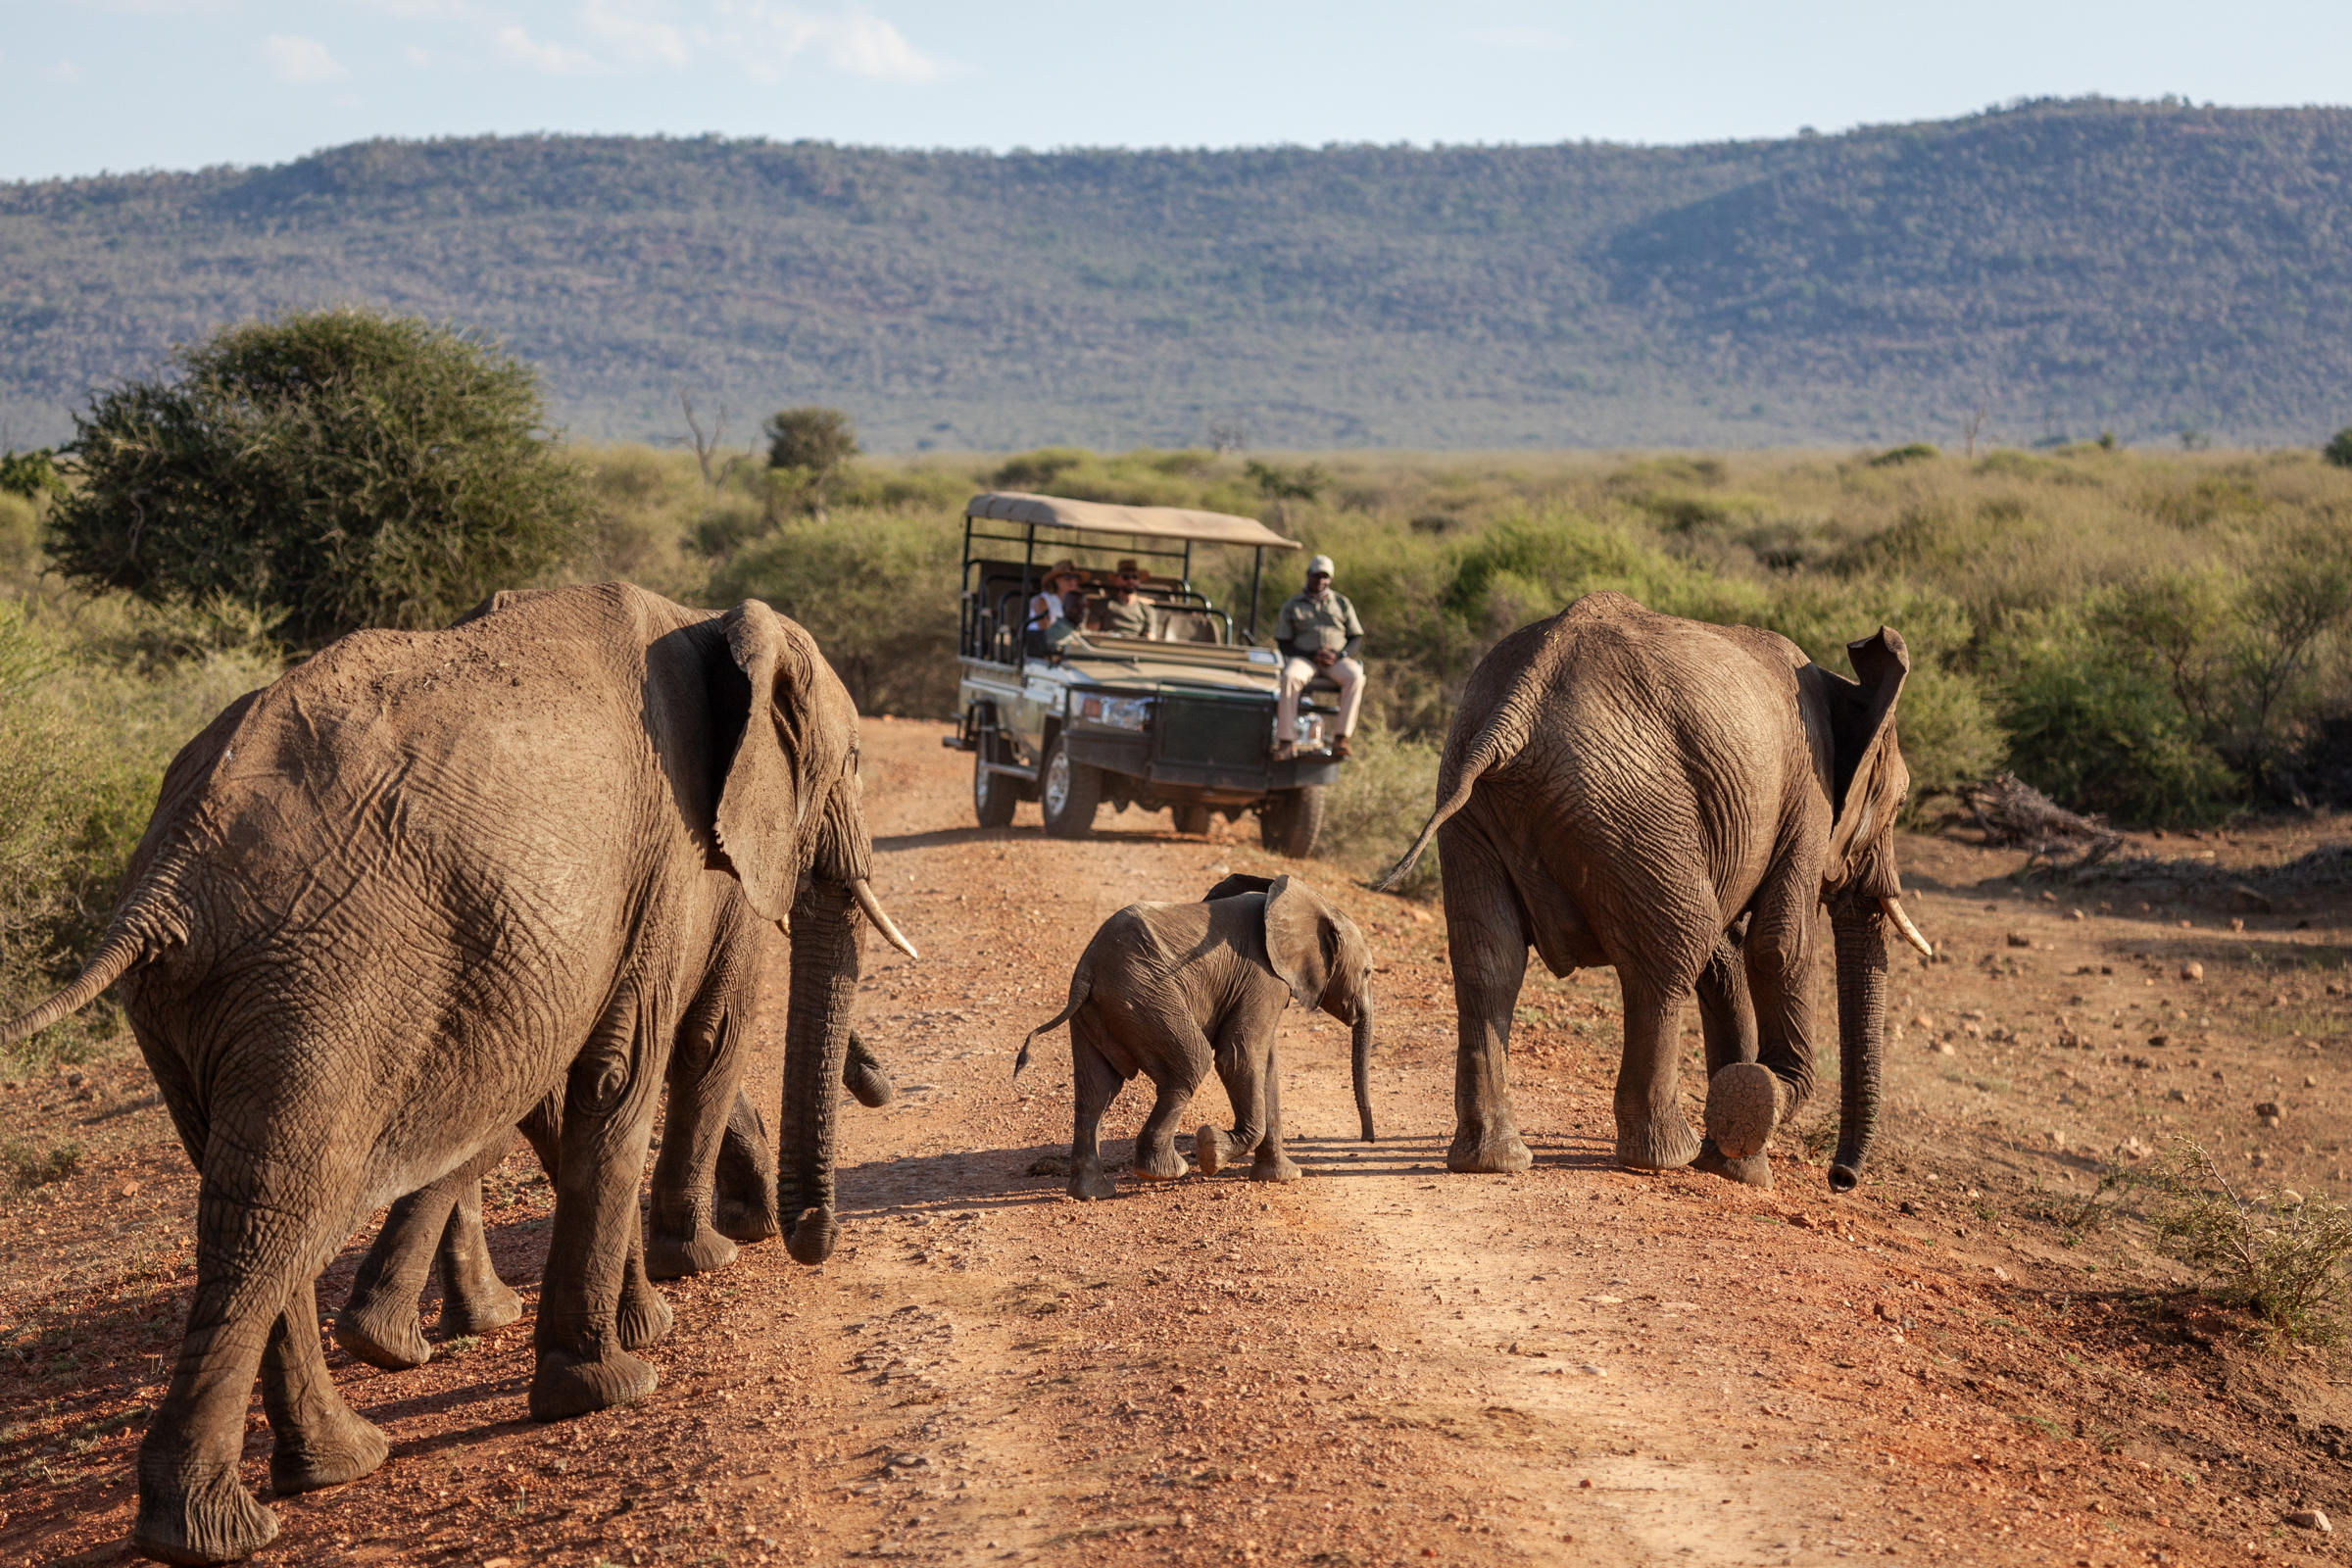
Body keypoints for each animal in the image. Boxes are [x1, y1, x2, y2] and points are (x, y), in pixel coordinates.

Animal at [1016, 872, 1376, 1201]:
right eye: (1368, 972)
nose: (1368, 1139)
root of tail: (1087, 969)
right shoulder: (1262, 976)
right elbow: (1239, 1056)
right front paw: (1211, 1151)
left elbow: (1267, 1068)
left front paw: (1281, 1177)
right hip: (1146, 998)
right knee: (1191, 1063)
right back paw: (1165, 1172)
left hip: (1099, 1012)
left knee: (1095, 1092)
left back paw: (1092, 1193)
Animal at [1375, 591, 1934, 1193]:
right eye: (1901, 803)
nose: (1841, 1178)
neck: (1844, 685)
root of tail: (1514, 711)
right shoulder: (1809, 795)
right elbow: (1776, 945)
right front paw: (1752, 1111)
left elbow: (1727, 956)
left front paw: (1736, 1161)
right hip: (1630, 803)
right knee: (1672, 954)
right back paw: (1662, 1157)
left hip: (1476, 802)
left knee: (1490, 962)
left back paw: (1493, 1161)